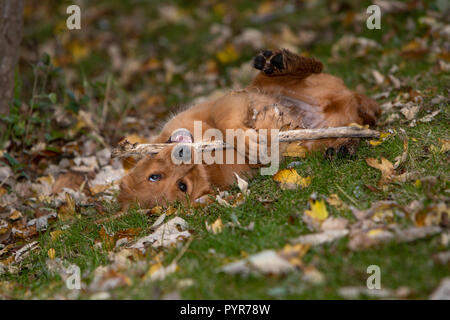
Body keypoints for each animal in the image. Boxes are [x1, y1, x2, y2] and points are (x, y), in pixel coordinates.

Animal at [118, 47, 380, 208]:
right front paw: (267, 128)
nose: (182, 153)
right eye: (182, 187)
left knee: (313, 65)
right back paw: (343, 146)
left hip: (270, 81)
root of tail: (351, 98)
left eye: (154, 176)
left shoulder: (225, 101)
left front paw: (252, 138)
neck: (206, 160)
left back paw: (279, 61)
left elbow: (227, 122)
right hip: (318, 140)